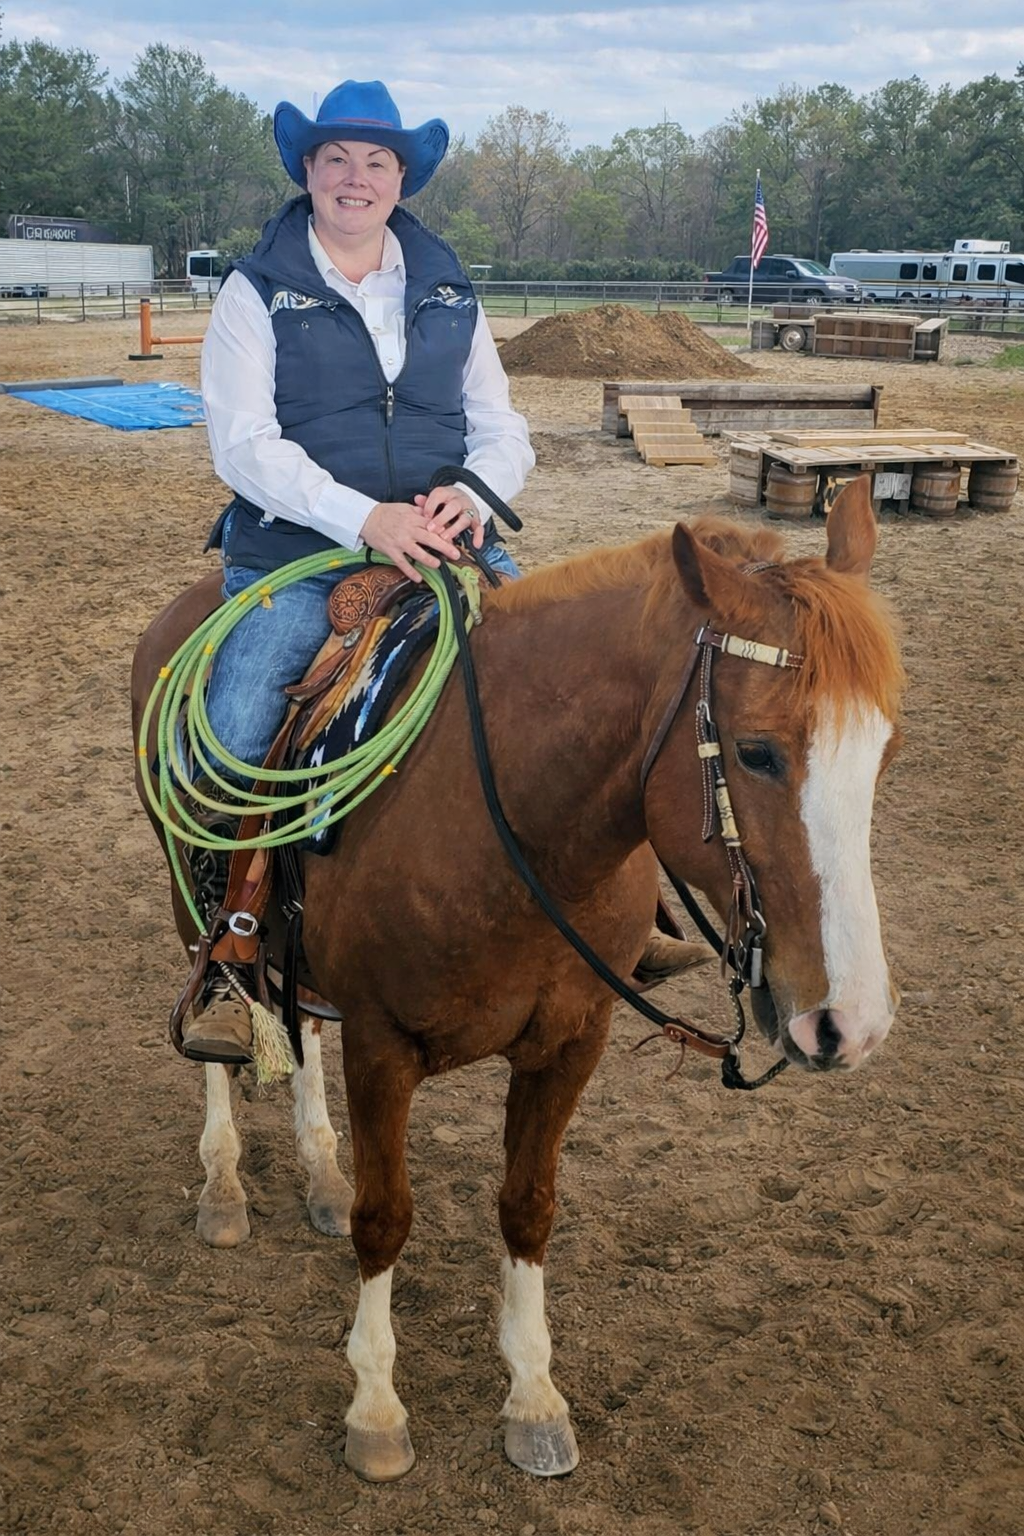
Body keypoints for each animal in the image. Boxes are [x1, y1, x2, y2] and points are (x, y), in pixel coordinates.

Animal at [131, 476, 904, 1483]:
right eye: (758, 751)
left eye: (884, 749)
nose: (852, 1023)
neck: (510, 826)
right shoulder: (384, 1045)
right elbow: (387, 1217)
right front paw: (376, 1410)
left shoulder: (571, 1041)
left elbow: (528, 1208)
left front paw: (535, 1398)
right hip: (195, 898)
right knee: (223, 1027)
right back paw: (224, 1183)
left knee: (299, 1028)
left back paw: (320, 1171)